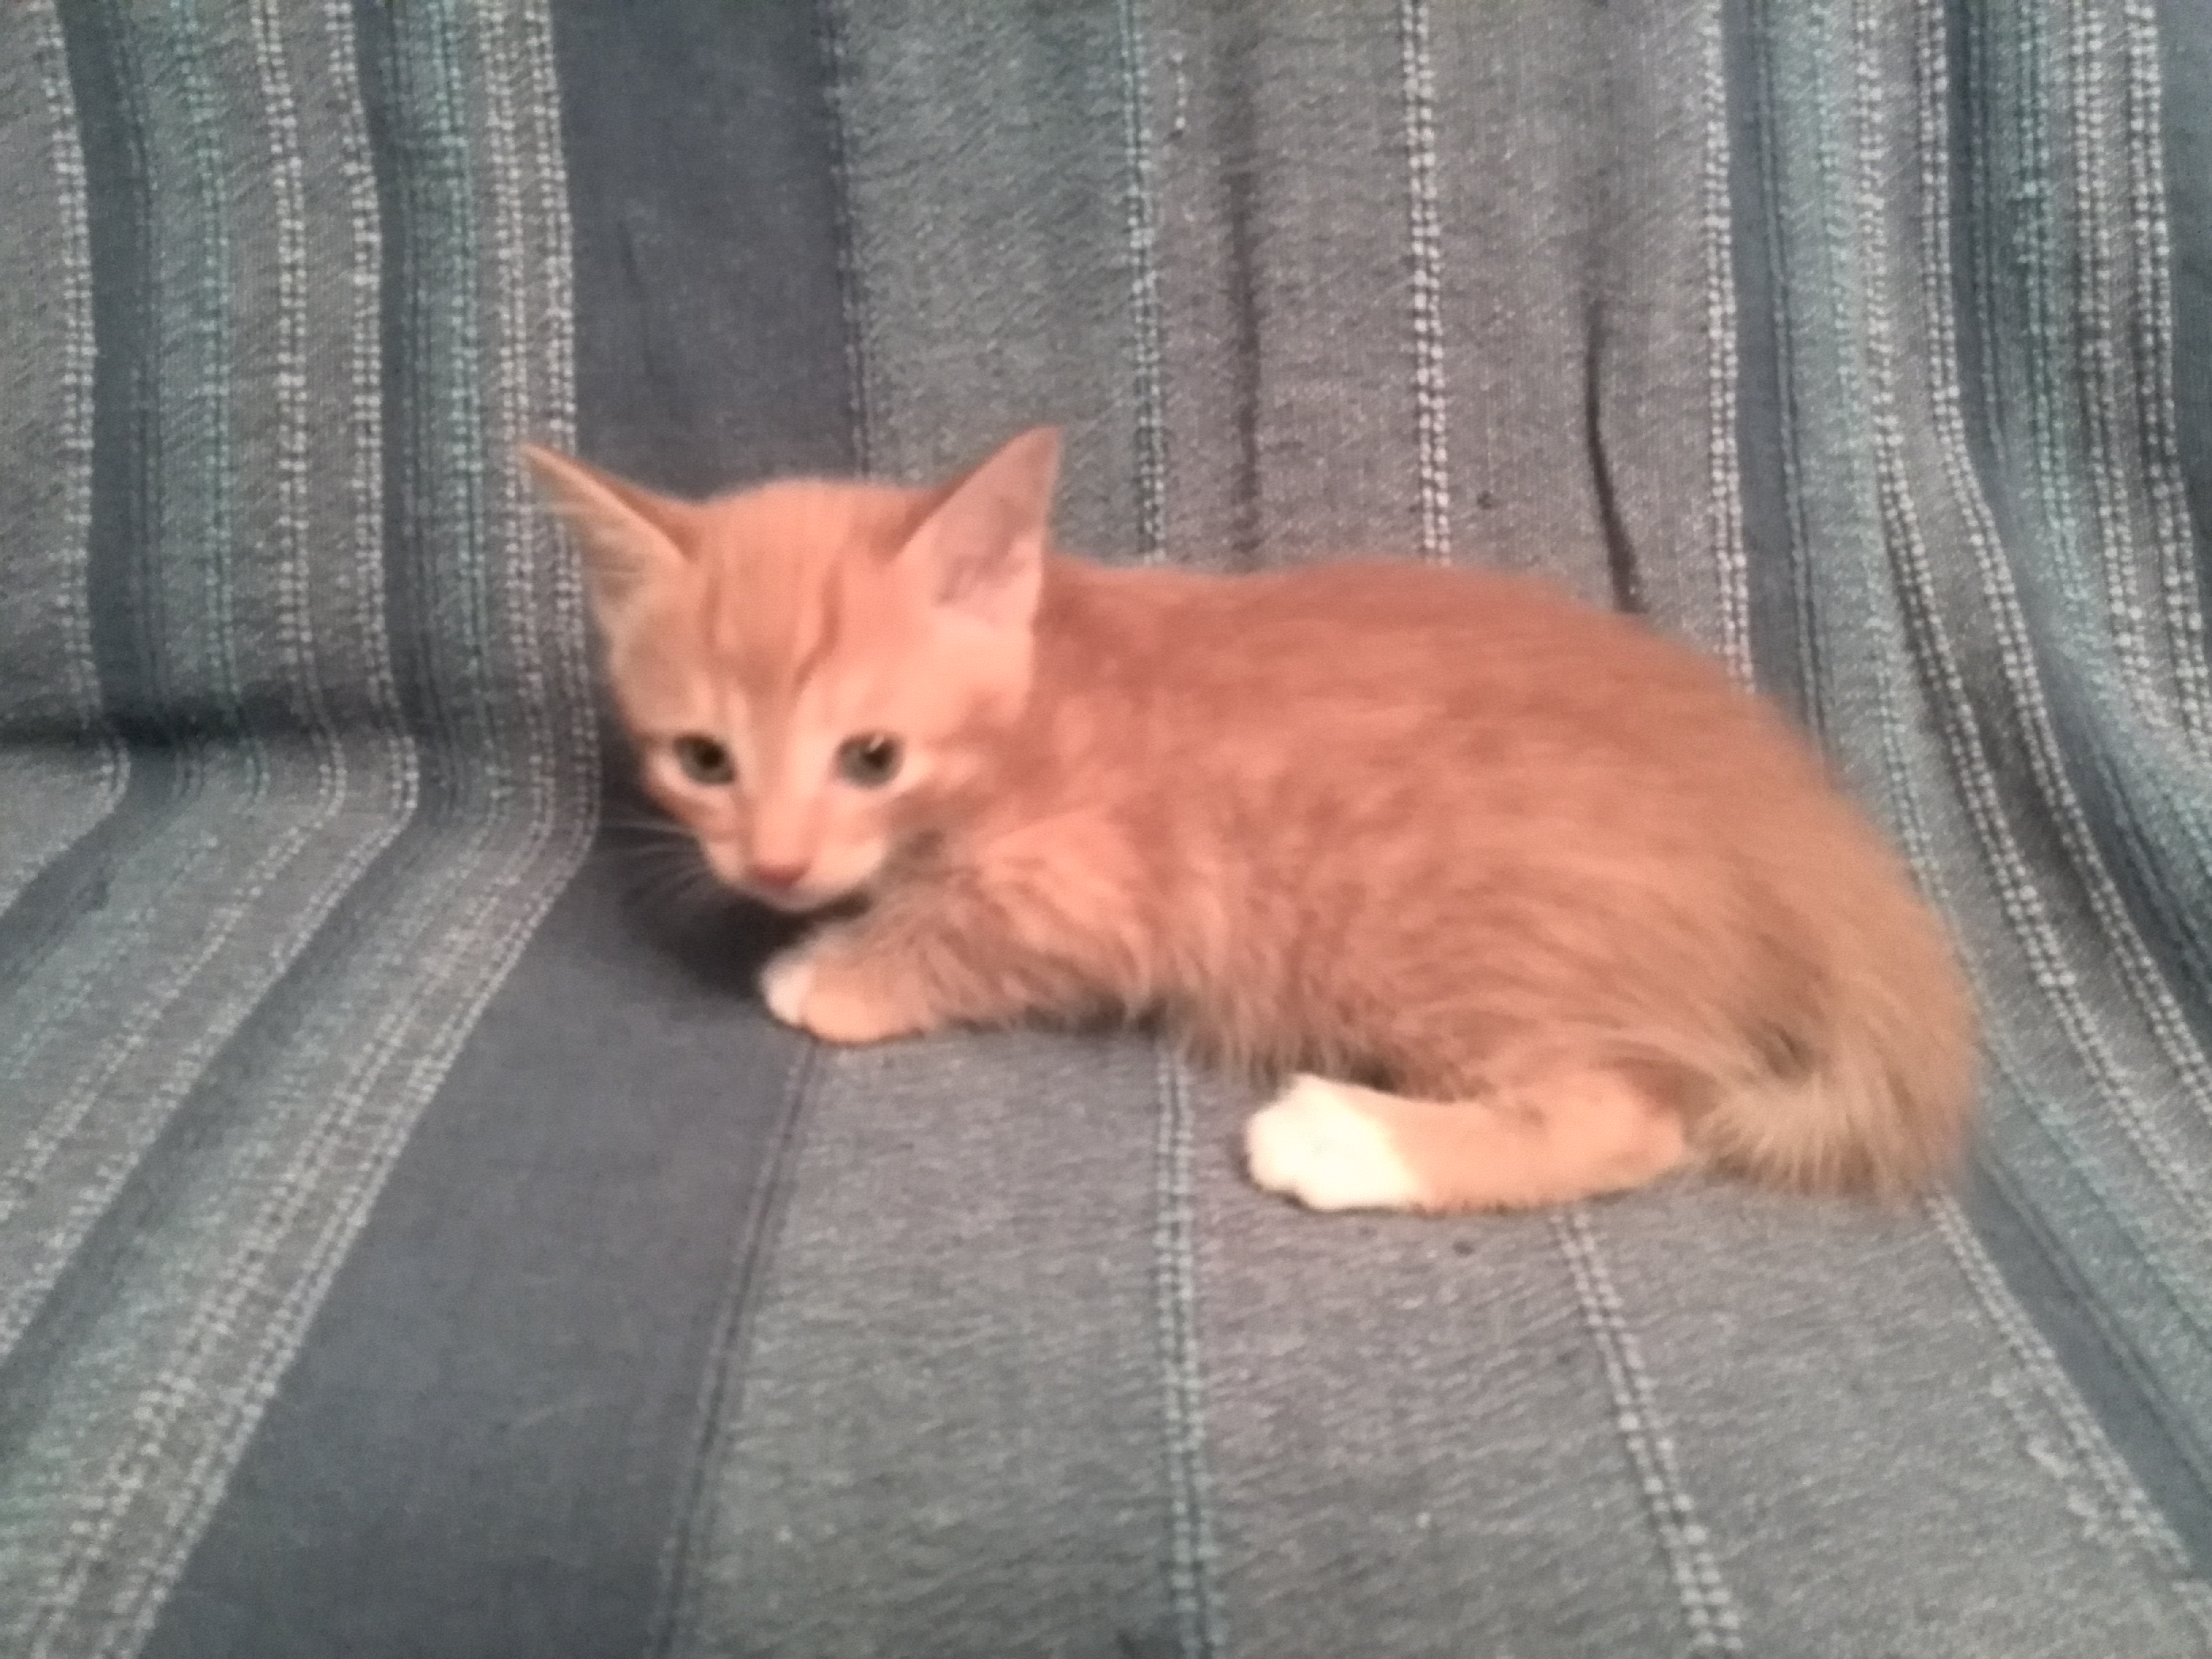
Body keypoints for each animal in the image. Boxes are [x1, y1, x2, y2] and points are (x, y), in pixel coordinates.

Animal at [523, 427, 1976, 1214]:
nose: (772, 863)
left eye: (870, 756)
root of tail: (1798, 834)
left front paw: (834, 967)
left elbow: (965, 930)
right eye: (702, 758)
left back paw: (1345, 1137)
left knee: (1631, 1118)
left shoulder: (1094, 890)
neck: (1047, 679)